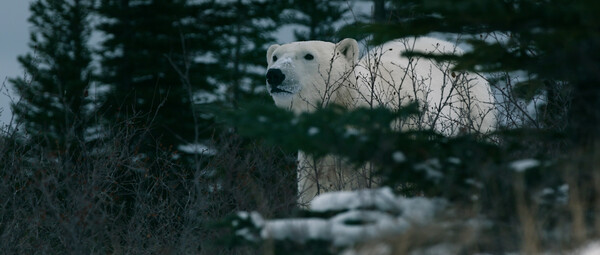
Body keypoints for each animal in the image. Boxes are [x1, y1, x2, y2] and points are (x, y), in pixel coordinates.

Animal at [268, 37, 496, 205]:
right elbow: (315, 188)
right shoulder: (318, 156)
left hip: (473, 105)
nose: (274, 74)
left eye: (309, 55)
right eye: (275, 56)